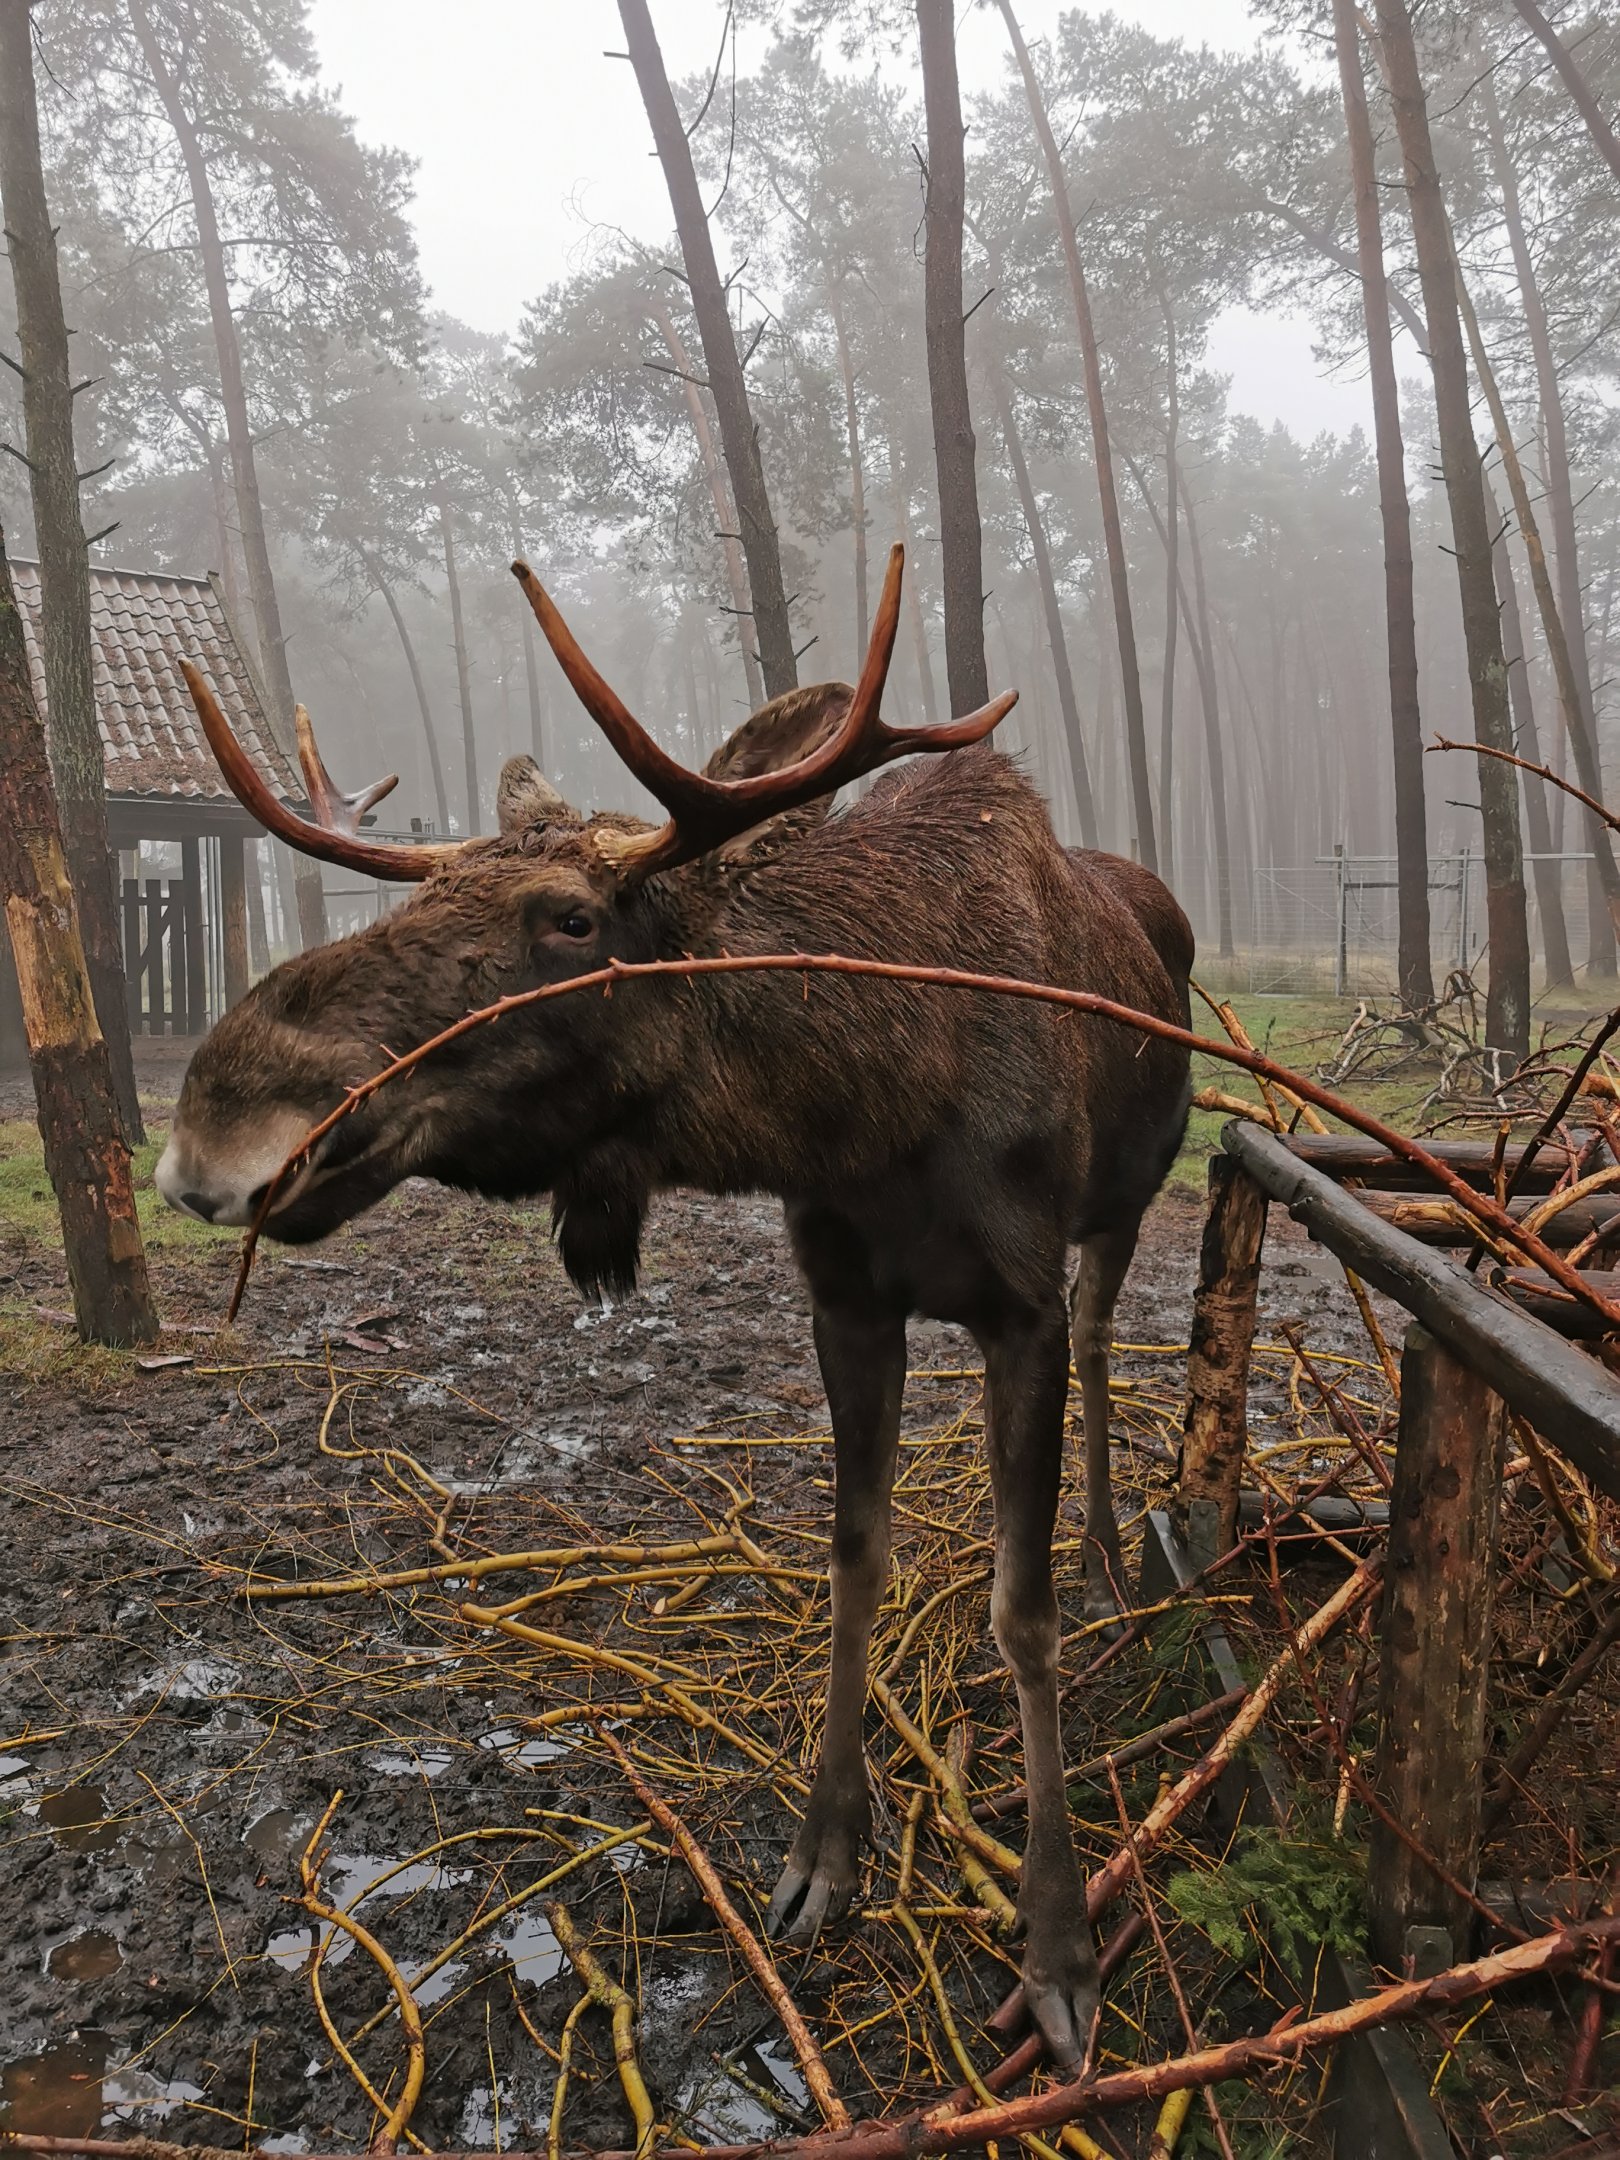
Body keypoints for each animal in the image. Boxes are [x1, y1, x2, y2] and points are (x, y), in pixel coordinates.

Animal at [155, 546, 1193, 2070]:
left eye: (572, 919)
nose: (219, 1123)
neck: (874, 1112)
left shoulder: (1021, 1305)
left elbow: (1024, 1611)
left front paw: (1058, 1953)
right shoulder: (842, 1296)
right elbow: (854, 1557)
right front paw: (825, 1855)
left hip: (1125, 1206)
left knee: (1119, 1347)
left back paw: (1121, 1551)